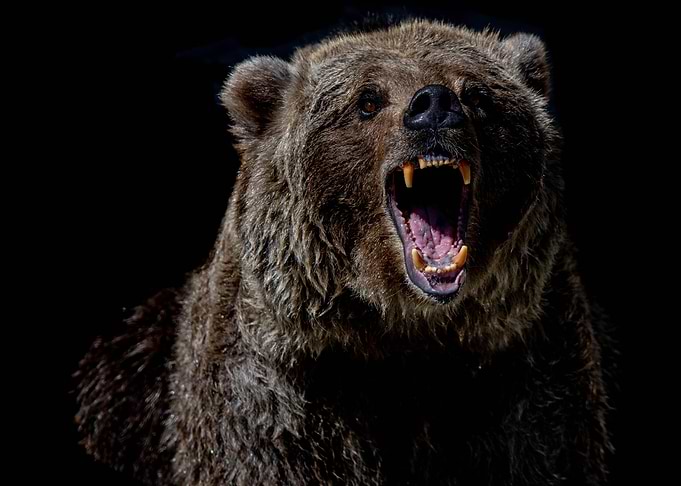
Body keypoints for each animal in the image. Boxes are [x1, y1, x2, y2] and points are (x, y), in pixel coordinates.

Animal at [75, 19, 613, 485]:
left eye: (478, 94)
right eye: (368, 100)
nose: (434, 105)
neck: (403, 333)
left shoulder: (522, 383)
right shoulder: (279, 404)